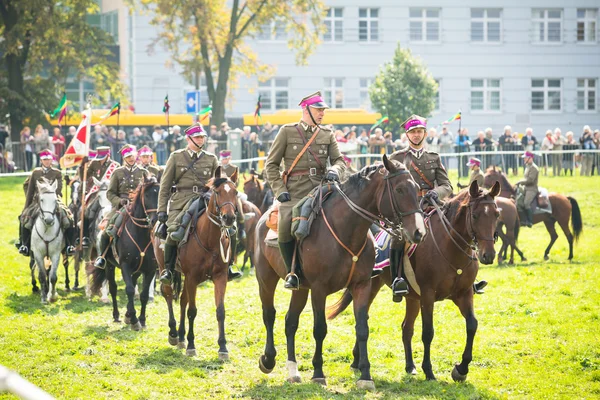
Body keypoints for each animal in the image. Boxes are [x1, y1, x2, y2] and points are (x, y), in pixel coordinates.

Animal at [89, 177, 159, 330]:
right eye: (146, 195)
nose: (155, 220)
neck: (141, 234)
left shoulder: (150, 270)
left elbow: (144, 294)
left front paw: (141, 319)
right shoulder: (125, 266)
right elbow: (130, 290)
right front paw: (133, 319)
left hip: (137, 269)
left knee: (133, 282)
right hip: (109, 266)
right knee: (114, 288)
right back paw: (117, 315)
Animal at [152, 166, 239, 360]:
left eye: (236, 192)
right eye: (217, 192)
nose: (229, 218)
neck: (210, 240)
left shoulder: (220, 277)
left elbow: (220, 311)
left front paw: (223, 347)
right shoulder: (191, 277)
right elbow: (192, 311)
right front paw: (191, 345)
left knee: (183, 300)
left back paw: (181, 336)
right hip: (164, 268)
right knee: (168, 294)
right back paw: (173, 333)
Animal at [255, 156, 424, 390]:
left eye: (416, 188)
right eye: (399, 189)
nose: (418, 232)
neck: (345, 231)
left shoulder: (361, 286)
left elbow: (362, 328)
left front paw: (365, 375)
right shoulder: (319, 289)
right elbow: (319, 329)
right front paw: (318, 373)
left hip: (300, 288)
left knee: (290, 321)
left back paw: (293, 370)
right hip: (266, 279)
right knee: (269, 315)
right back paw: (268, 359)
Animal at [328, 180, 502, 382]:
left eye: (497, 214)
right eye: (474, 215)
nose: (488, 255)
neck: (450, 247)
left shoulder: (464, 294)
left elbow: (472, 325)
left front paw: (461, 369)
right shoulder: (428, 294)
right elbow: (428, 332)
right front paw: (429, 371)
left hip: (412, 298)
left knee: (406, 328)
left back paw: (409, 366)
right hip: (372, 286)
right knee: (366, 317)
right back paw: (357, 361)